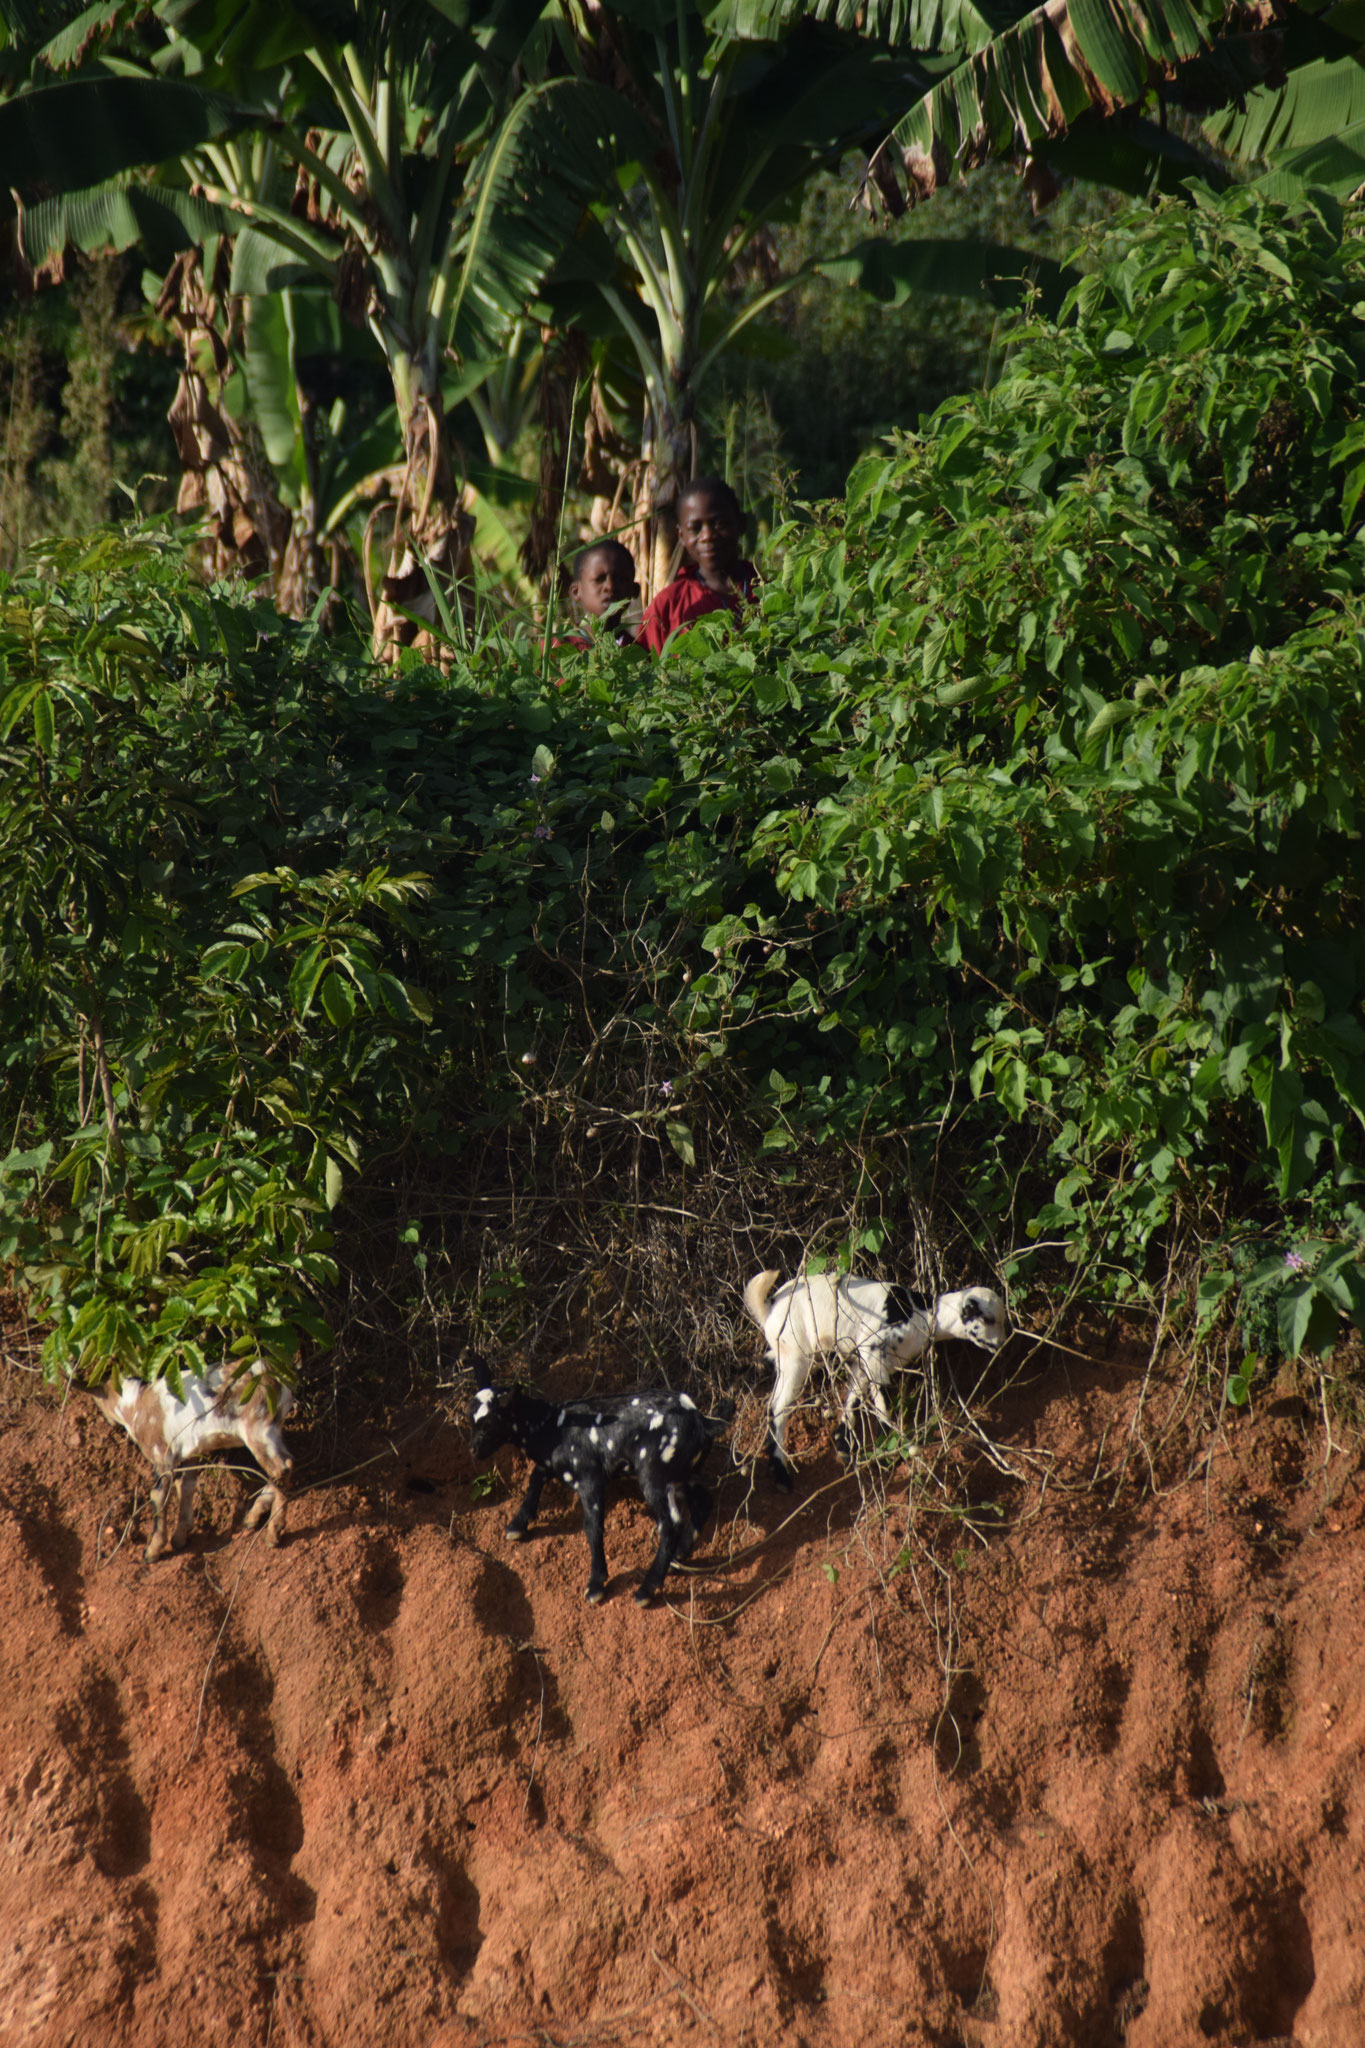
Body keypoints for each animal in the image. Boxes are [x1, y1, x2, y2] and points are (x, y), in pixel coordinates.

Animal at [91, 1368, 296, 1556]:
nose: (109, 1422)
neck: (136, 1404)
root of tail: (275, 1378)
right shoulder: (190, 1455)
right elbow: (186, 1487)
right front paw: (180, 1538)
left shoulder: (161, 1455)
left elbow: (158, 1495)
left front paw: (152, 1551)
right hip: (272, 1430)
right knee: (287, 1465)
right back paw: (254, 1517)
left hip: (257, 1431)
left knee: (280, 1469)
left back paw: (273, 1534)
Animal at [474, 1384, 740, 1605]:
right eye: (471, 1418)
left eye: (488, 1423)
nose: (473, 1450)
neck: (552, 1426)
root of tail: (703, 1421)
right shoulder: (554, 1466)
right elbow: (536, 1477)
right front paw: (517, 1525)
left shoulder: (589, 1478)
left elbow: (592, 1526)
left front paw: (596, 1585)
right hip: (685, 1474)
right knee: (702, 1503)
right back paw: (677, 1557)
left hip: (655, 1475)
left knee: (670, 1522)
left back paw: (646, 1589)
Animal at [740, 1261, 1010, 1490]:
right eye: (988, 1319)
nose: (1003, 1343)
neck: (921, 1312)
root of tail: (770, 1307)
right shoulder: (873, 1350)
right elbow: (882, 1404)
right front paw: (888, 1448)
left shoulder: (864, 1361)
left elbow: (854, 1397)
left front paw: (843, 1443)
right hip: (797, 1357)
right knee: (777, 1408)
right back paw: (781, 1475)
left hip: (792, 1353)